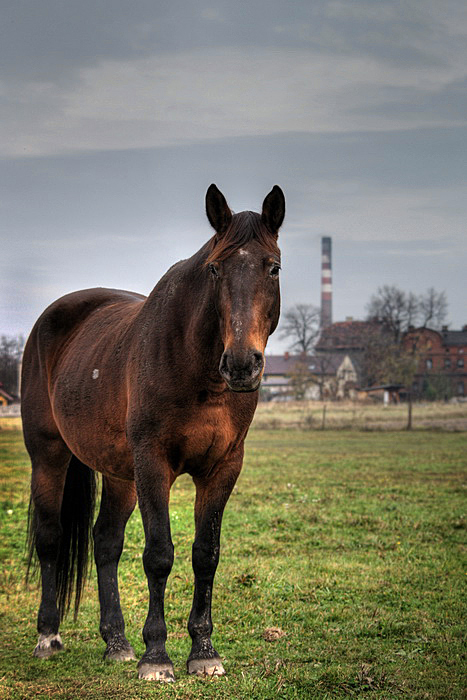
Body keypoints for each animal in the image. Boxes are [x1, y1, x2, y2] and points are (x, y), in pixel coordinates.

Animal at [22, 183, 288, 680]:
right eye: (215, 268)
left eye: (274, 267)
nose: (242, 364)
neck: (199, 370)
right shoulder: (154, 464)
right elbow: (159, 554)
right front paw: (157, 656)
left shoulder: (222, 468)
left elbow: (206, 554)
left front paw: (203, 651)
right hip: (50, 456)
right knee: (50, 538)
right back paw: (48, 636)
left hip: (120, 475)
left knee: (105, 542)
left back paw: (116, 642)